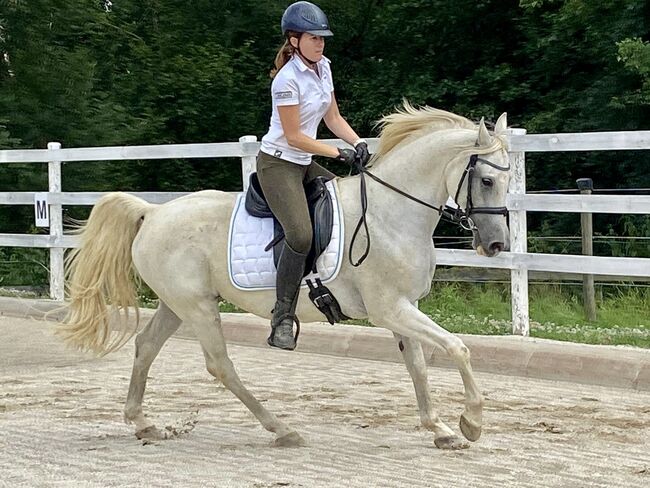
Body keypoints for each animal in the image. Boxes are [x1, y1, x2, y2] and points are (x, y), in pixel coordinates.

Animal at [58, 106, 508, 450]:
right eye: (487, 180)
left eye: (510, 180)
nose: (496, 245)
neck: (389, 214)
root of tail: (153, 212)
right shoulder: (389, 309)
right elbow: (458, 348)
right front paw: (471, 422)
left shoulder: (403, 308)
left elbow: (418, 366)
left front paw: (441, 430)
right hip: (197, 307)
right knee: (220, 365)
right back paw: (282, 429)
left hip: (176, 303)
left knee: (146, 346)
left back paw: (143, 423)